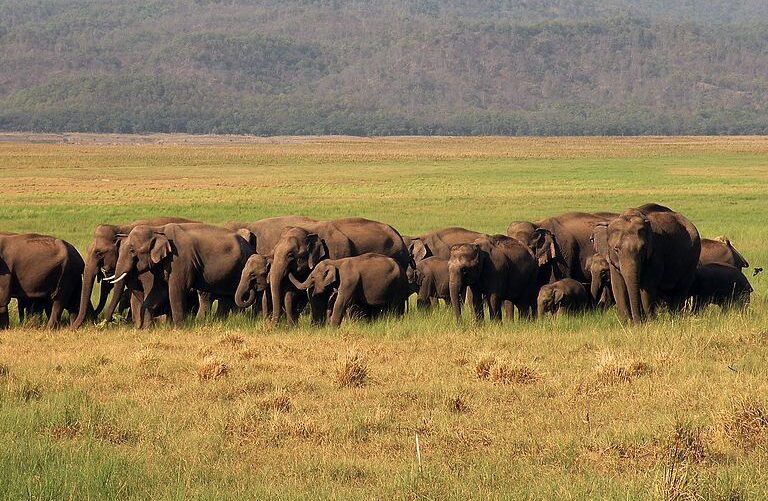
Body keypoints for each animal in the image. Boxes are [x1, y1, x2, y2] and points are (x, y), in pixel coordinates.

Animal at [111, 223, 254, 328]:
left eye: (132, 250)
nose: (110, 321)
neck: (158, 230)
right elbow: (158, 291)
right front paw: (146, 329)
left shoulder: (180, 260)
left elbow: (176, 289)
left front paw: (178, 329)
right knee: (226, 297)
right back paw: (220, 322)